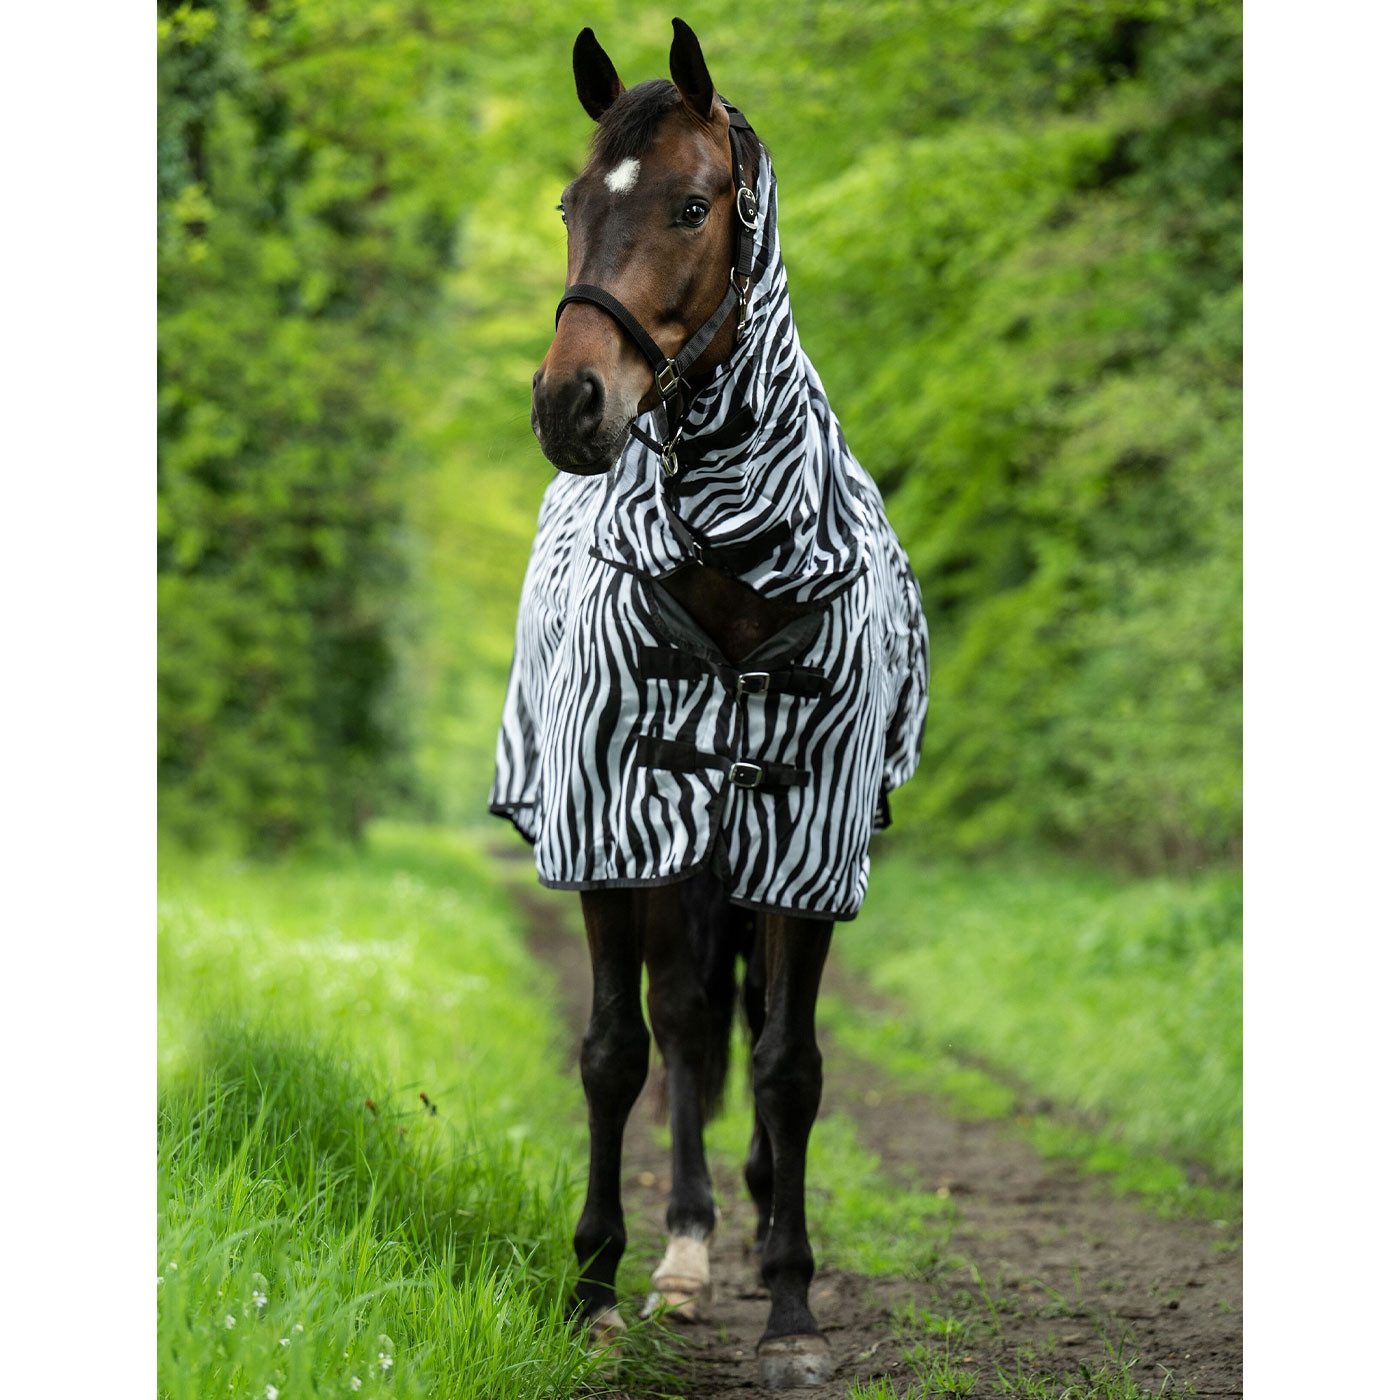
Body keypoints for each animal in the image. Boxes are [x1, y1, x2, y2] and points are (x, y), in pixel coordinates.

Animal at [491, 17, 929, 1388]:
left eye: (691, 205)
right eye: (571, 203)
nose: (567, 403)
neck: (737, 561)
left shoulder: (807, 841)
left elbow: (788, 1064)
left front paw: (790, 1301)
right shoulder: (609, 827)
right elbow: (616, 1051)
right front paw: (591, 1283)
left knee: (730, 1026)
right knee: (682, 1024)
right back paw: (680, 1252)